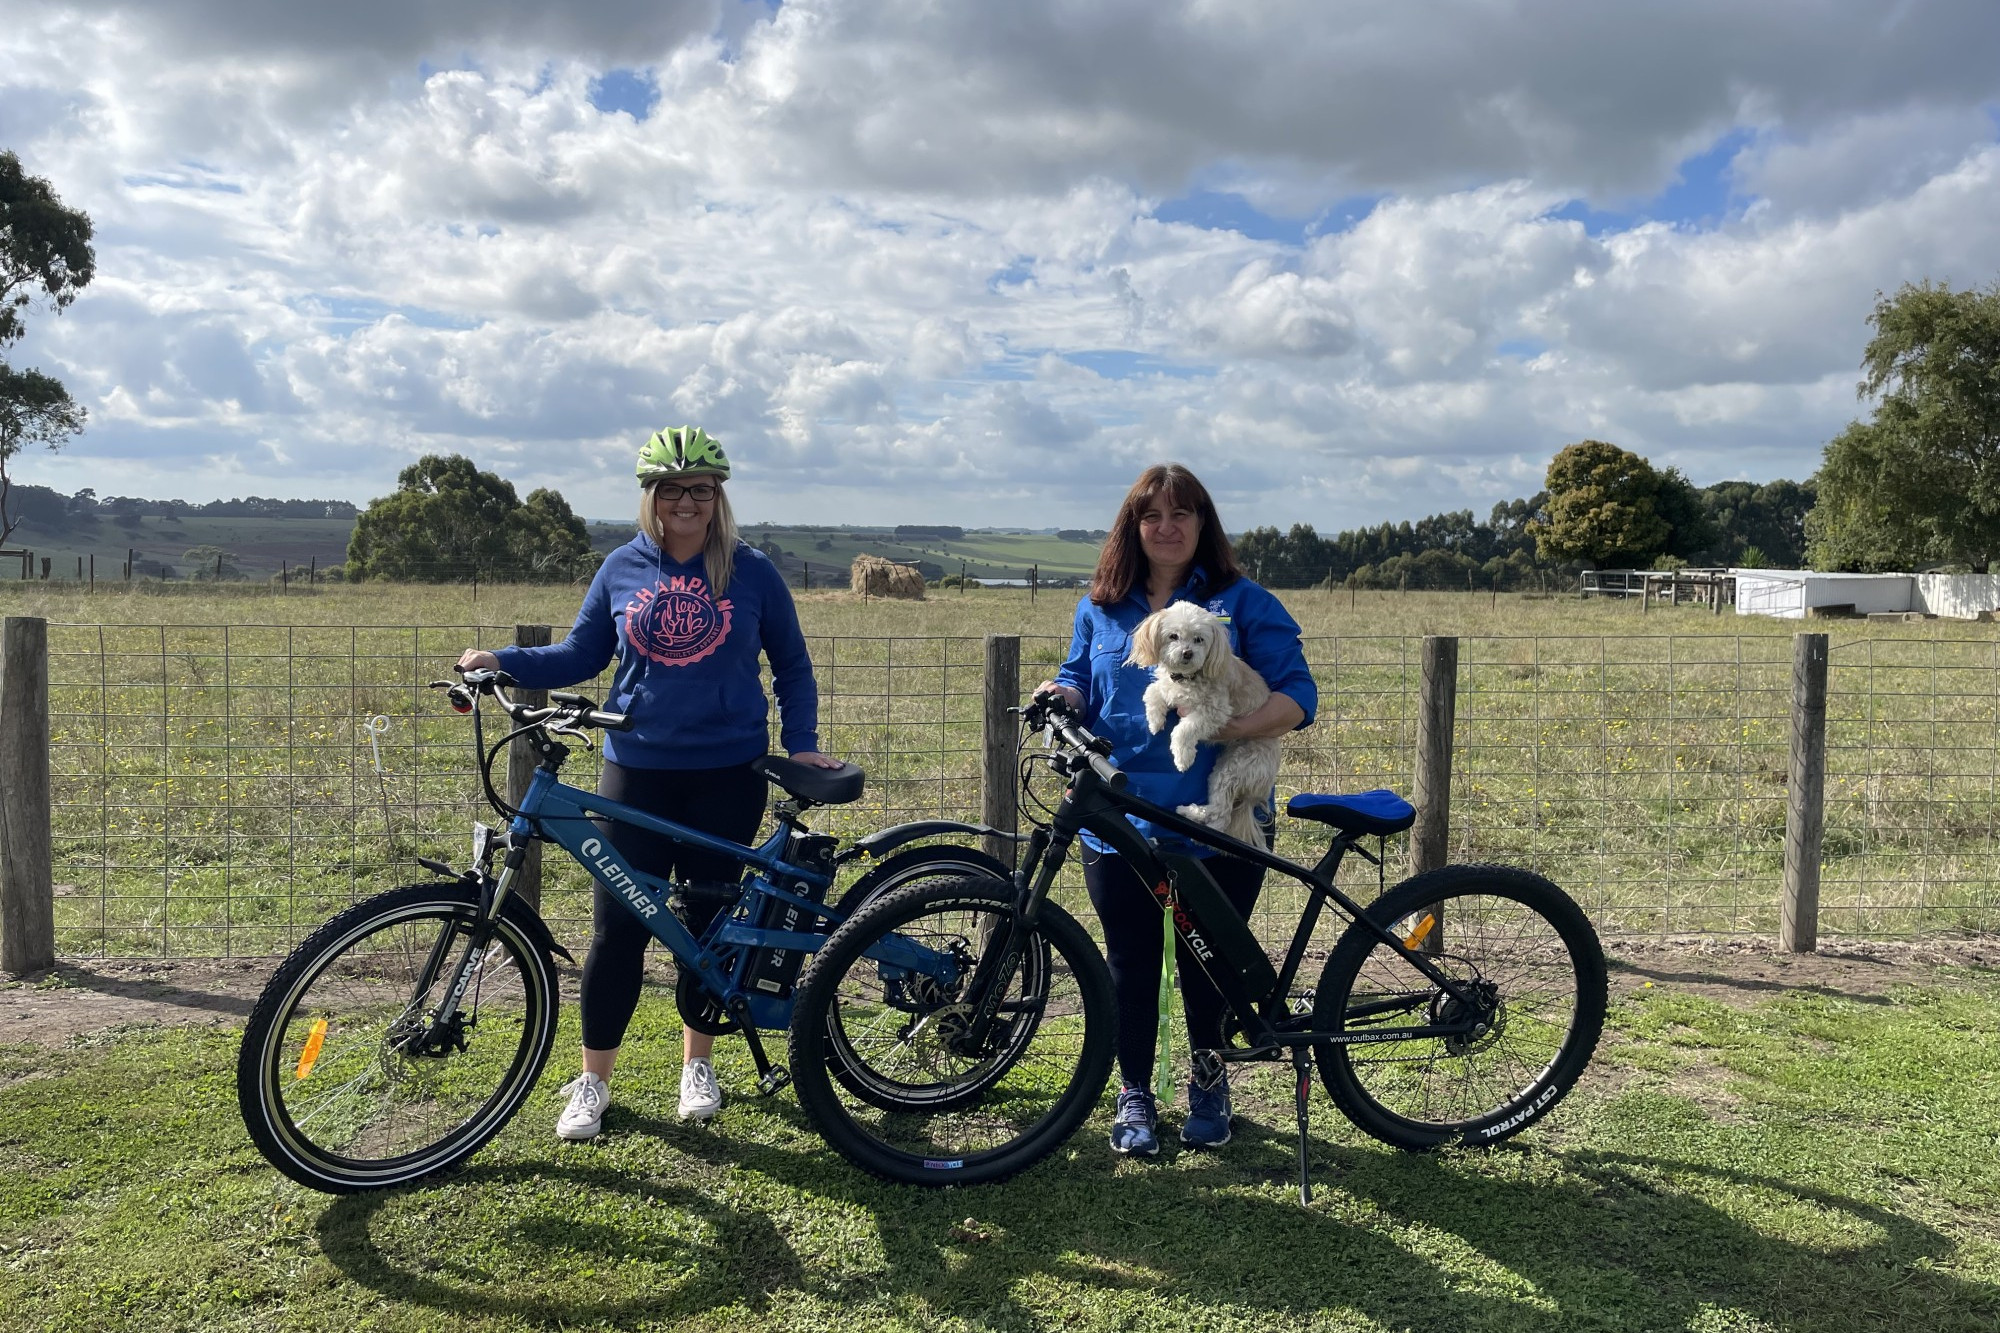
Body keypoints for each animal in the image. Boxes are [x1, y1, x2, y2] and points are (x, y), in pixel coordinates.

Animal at [1128, 600, 1280, 840]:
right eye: (1173, 636)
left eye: (1199, 639)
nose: (1187, 653)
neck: (1186, 678)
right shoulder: (1168, 688)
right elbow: (1152, 691)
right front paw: (1154, 721)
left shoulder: (1214, 712)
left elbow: (1183, 730)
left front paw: (1183, 758)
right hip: (1221, 772)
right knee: (1221, 812)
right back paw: (1192, 814)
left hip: (1236, 767)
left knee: (1221, 814)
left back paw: (1190, 814)